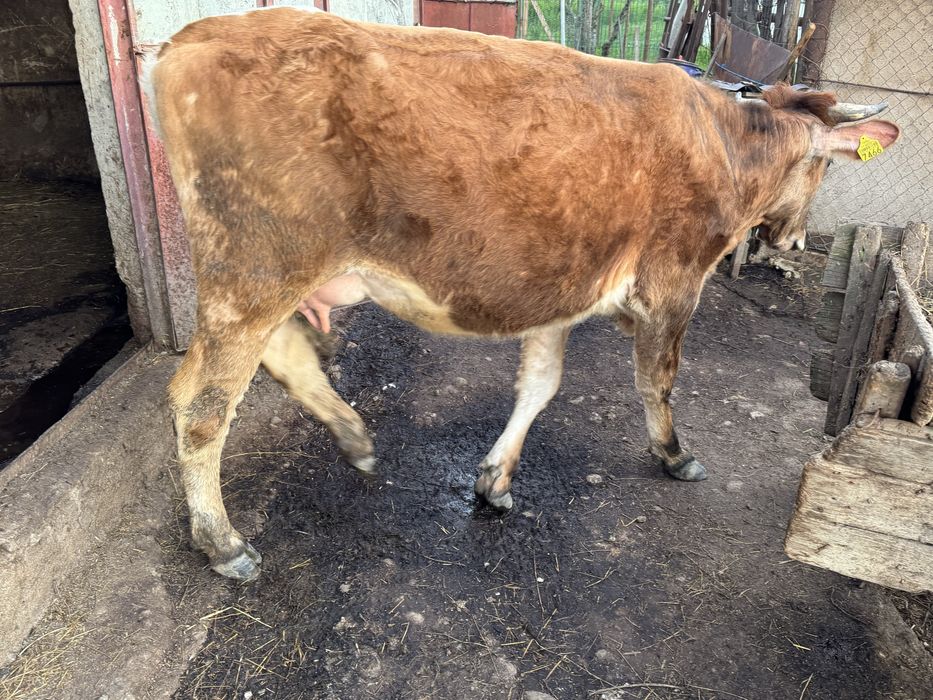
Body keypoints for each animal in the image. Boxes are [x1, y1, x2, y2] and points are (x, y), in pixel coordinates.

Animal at [149, 7, 899, 581]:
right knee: (201, 403)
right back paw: (223, 543)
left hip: (264, 274)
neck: (727, 144)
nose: (793, 241)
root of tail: (192, 37)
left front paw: (495, 480)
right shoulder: (673, 282)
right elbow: (656, 379)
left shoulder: (560, 286)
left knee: (283, 356)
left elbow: (540, 384)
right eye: (823, 170)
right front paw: (674, 455)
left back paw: (353, 435)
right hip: (253, 268)